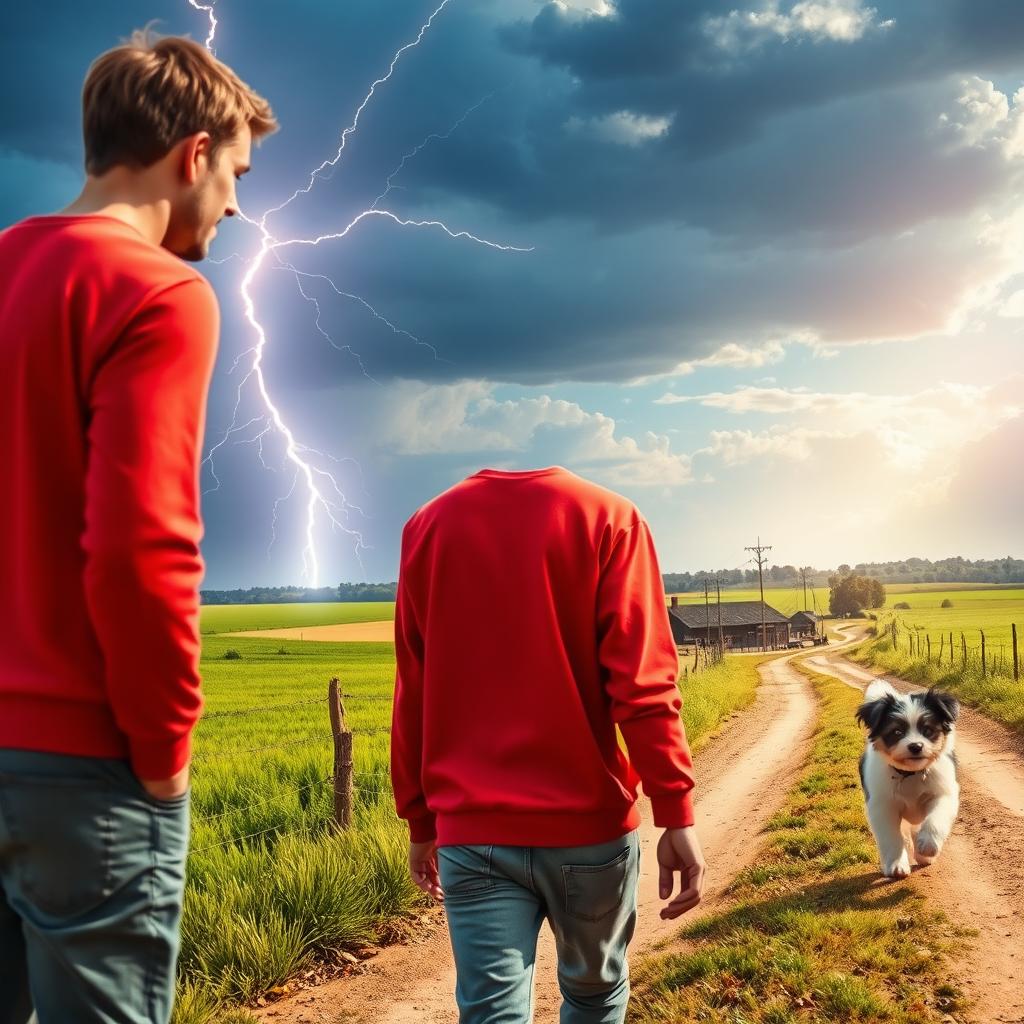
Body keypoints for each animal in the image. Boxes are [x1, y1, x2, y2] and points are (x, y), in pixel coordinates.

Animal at [856, 679, 958, 880]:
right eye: (897, 732)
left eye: (927, 730)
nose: (916, 746)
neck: (911, 773)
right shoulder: (883, 806)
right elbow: (891, 836)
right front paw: (896, 865)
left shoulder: (943, 792)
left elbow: (936, 817)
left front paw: (928, 845)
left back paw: (923, 854)